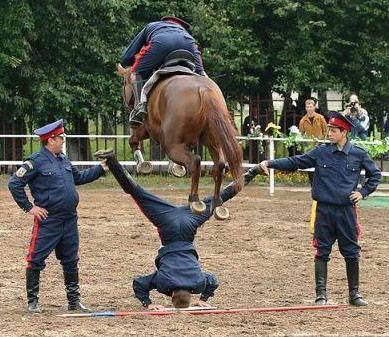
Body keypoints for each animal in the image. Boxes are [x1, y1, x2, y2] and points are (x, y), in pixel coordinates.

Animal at [117, 64, 242, 219]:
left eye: (124, 83)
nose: (127, 106)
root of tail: (203, 89)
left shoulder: (146, 128)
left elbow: (132, 140)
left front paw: (142, 164)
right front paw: (175, 168)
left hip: (172, 146)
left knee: (195, 161)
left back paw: (194, 200)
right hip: (213, 142)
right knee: (219, 164)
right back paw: (218, 204)